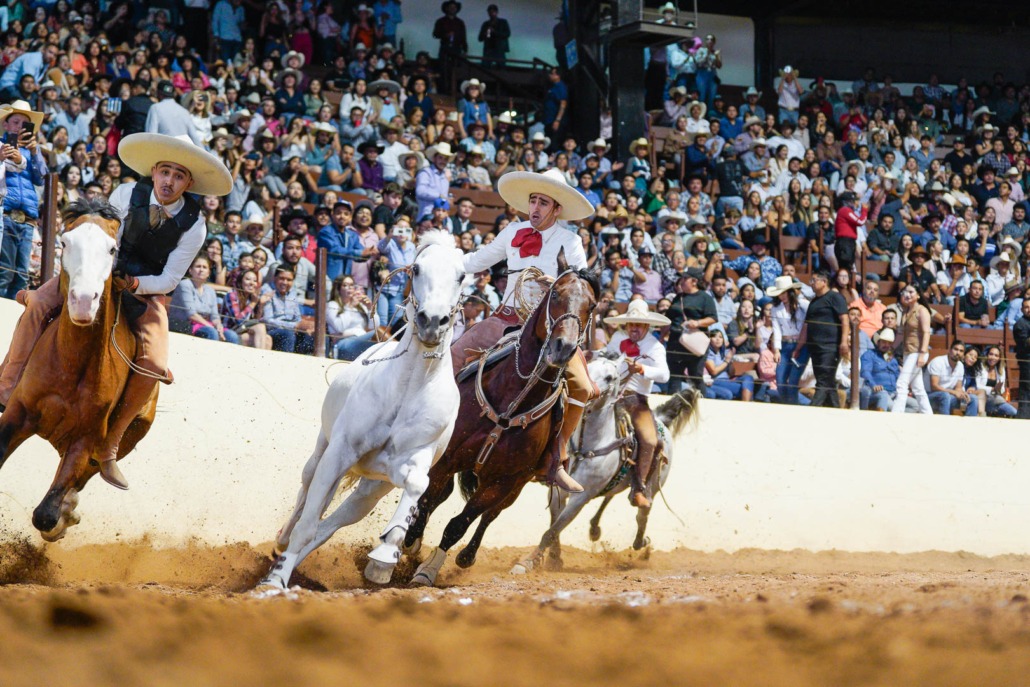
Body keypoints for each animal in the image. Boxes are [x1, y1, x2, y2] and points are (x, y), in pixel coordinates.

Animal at [0, 198, 156, 543]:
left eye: (112, 249)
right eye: (65, 242)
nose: (84, 301)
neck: (71, 366)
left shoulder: (85, 439)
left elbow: (46, 513)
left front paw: (61, 516)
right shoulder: (17, 412)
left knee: (83, 478)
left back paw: (69, 508)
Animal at [255, 232, 469, 593]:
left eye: (462, 276)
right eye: (416, 268)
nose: (432, 322)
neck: (407, 389)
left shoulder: (408, 462)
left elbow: (417, 486)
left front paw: (383, 558)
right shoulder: (340, 453)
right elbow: (306, 523)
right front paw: (273, 580)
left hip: (371, 490)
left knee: (330, 524)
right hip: (323, 453)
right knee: (305, 499)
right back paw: (281, 544)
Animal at [399, 250, 597, 589]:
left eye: (592, 305)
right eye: (555, 293)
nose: (563, 348)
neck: (512, 401)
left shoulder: (504, 480)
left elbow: (460, 523)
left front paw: (428, 569)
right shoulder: (446, 459)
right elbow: (427, 501)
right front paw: (410, 543)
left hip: (515, 484)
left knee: (490, 515)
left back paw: (467, 557)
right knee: (439, 497)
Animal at [512, 354, 700, 576]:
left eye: (610, 377)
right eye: (588, 367)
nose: (588, 393)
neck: (587, 446)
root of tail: (660, 420)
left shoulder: (581, 496)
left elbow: (552, 530)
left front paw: (527, 562)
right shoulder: (559, 491)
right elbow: (554, 526)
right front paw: (554, 558)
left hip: (653, 488)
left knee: (642, 515)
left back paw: (642, 543)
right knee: (610, 495)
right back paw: (595, 528)